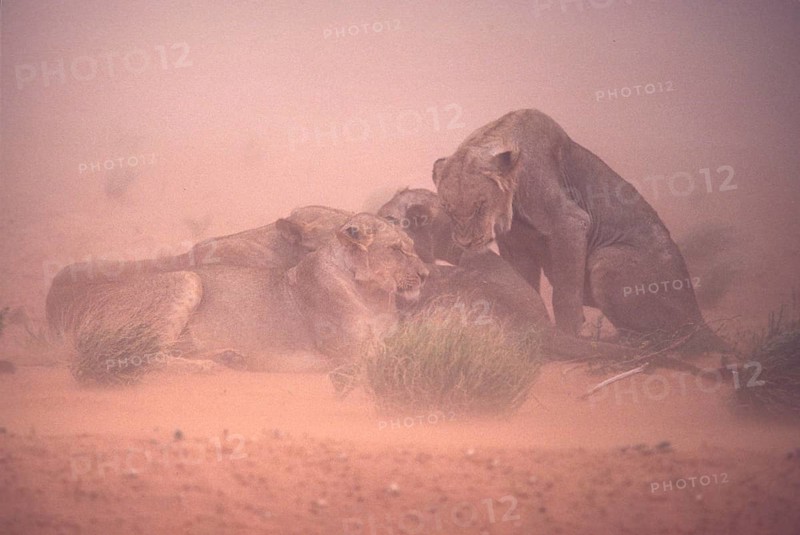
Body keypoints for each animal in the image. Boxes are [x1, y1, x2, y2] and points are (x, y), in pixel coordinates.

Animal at [53, 213, 428, 376]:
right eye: (397, 249)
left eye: (412, 247)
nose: (426, 274)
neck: (374, 296)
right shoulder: (353, 351)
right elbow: (397, 355)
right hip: (189, 279)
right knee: (141, 356)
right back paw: (206, 367)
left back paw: (228, 357)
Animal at [431, 110, 726, 352]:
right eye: (447, 207)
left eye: (480, 205)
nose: (466, 242)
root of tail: (699, 316)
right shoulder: (515, 245)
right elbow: (522, 285)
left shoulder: (569, 222)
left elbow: (564, 294)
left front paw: (568, 334)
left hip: (606, 260)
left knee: (668, 338)